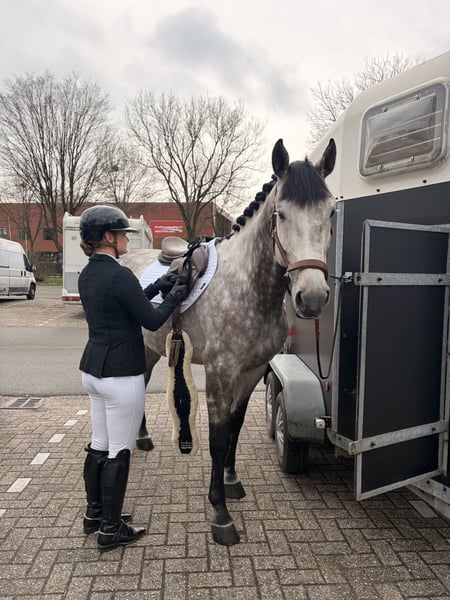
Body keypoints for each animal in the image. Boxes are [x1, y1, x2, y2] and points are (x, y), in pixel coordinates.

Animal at [121, 138, 337, 545]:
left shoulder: (252, 371)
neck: (248, 288)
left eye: (331, 212)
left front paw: (233, 482)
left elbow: (235, 425)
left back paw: (141, 437)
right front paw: (220, 512)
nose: (313, 297)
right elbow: (218, 436)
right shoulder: (220, 373)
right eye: (281, 215)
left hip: (152, 348)